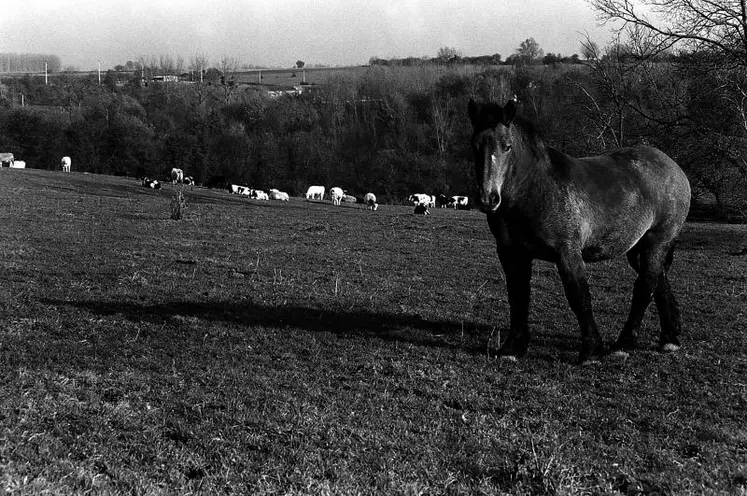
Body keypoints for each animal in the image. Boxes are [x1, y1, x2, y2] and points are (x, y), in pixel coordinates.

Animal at [470, 100, 692, 364]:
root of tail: (673, 167)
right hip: (638, 249)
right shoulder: (511, 253)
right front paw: (512, 348)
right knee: (659, 282)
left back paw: (623, 344)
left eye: (507, 146)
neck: (535, 190)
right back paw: (669, 338)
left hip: (656, 242)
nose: (488, 198)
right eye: (475, 146)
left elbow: (579, 297)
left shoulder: (567, 252)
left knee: (645, 287)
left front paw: (591, 351)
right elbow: (518, 296)